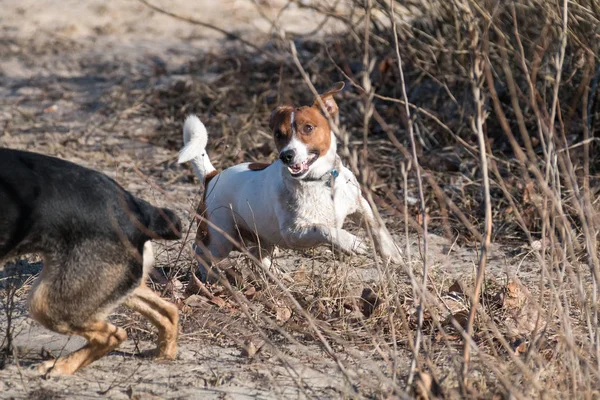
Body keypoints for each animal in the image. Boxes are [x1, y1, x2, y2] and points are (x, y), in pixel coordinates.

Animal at [0, 148, 183, 376]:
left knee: (114, 335)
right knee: (168, 312)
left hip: (48, 302)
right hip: (107, 285)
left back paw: (60, 366)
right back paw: (163, 354)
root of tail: (138, 210)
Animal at [179, 81, 404, 278]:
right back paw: (209, 277)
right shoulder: (294, 233)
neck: (319, 181)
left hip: (263, 237)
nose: (286, 155)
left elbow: (377, 227)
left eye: (308, 128)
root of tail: (212, 177)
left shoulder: (360, 205)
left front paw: (393, 254)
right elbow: (325, 229)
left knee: (257, 255)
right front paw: (350, 241)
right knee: (200, 251)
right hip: (220, 238)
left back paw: (278, 277)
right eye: (279, 134)